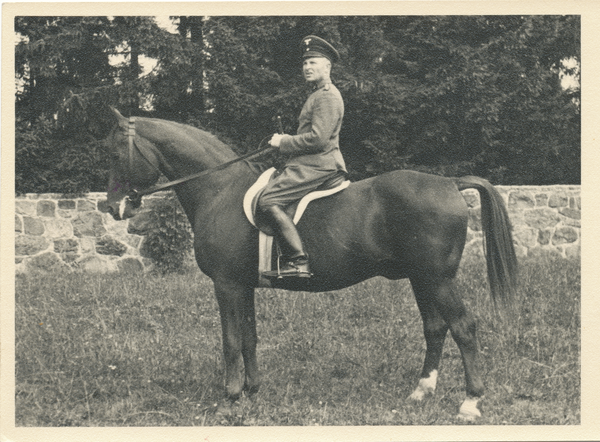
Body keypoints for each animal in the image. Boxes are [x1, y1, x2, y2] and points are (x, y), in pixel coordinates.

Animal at [105, 109, 516, 420]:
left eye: (115, 154)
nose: (112, 207)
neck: (219, 190)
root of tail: (450, 182)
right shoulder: (244, 285)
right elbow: (250, 337)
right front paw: (252, 390)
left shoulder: (226, 284)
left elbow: (231, 340)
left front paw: (231, 396)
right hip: (422, 279)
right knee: (435, 328)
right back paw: (421, 391)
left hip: (438, 278)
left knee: (463, 327)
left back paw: (470, 402)